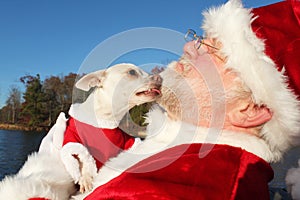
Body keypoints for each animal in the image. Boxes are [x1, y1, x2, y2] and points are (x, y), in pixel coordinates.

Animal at [0, 63, 162, 200]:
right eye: (132, 72)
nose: (160, 77)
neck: (106, 119)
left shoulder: (125, 143)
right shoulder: (73, 139)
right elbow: (81, 157)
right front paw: (85, 178)